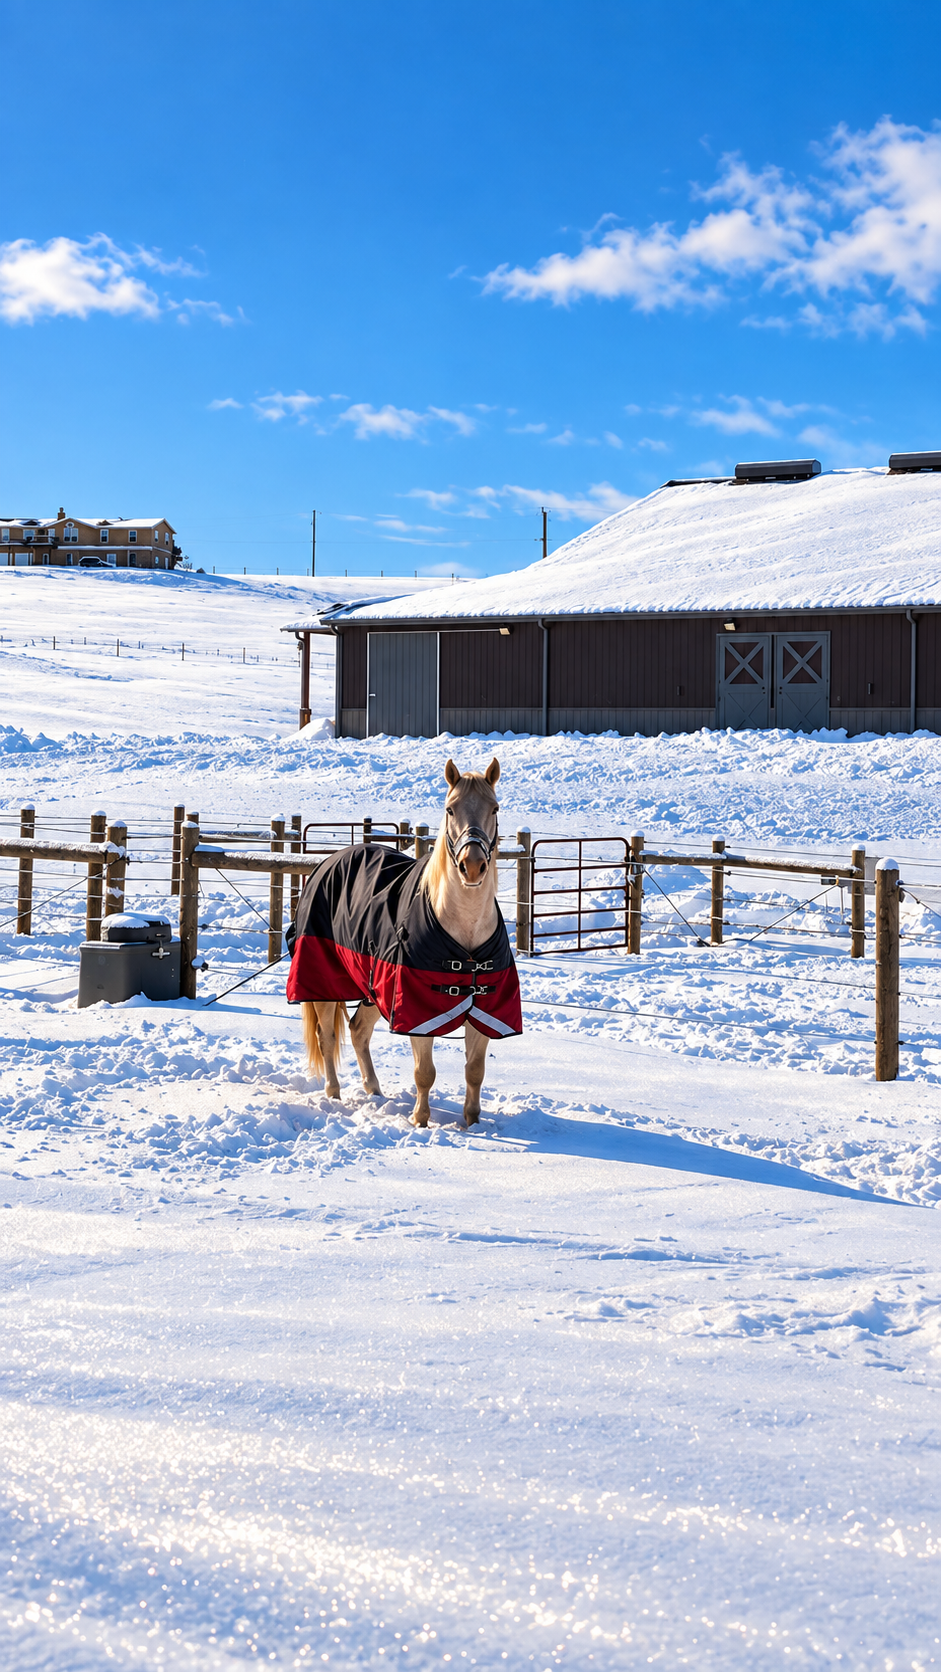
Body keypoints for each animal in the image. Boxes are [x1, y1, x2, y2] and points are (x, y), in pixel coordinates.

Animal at [285, 757, 522, 1127]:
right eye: (450, 809)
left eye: (495, 807)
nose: (472, 866)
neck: (464, 933)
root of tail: (326, 863)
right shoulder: (416, 1013)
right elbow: (425, 1072)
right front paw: (420, 1121)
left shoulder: (486, 1010)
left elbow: (475, 1071)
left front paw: (472, 1123)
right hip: (322, 980)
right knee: (328, 1037)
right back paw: (334, 1094)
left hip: (373, 987)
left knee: (358, 1030)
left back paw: (374, 1091)